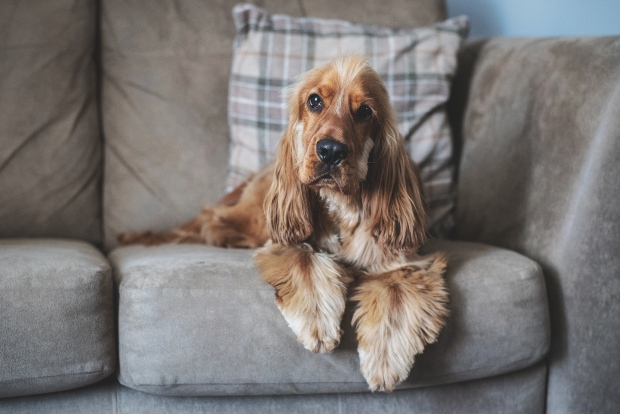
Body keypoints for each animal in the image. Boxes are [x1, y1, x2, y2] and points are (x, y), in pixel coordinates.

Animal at [118, 56, 448, 392]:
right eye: (314, 101)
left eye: (366, 111)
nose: (330, 151)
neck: (341, 204)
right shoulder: (285, 240)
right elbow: (305, 259)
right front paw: (318, 322)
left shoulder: (403, 263)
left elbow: (395, 295)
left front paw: (383, 360)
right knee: (213, 217)